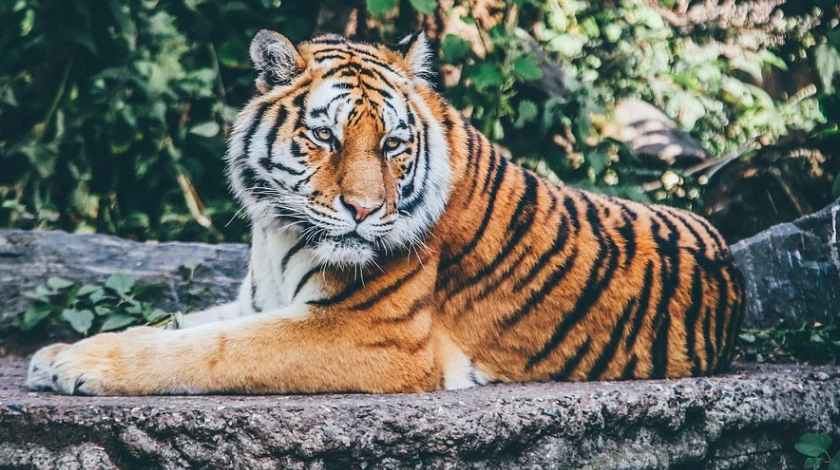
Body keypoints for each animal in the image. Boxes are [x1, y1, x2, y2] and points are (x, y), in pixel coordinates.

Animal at [26, 30, 746, 395]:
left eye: (394, 145)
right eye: (326, 137)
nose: (365, 210)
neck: (276, 230)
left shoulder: (368, 334)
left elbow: (210, 350)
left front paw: (79, 365)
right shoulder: (258, 299)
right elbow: (179, 324)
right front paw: (57, 352)